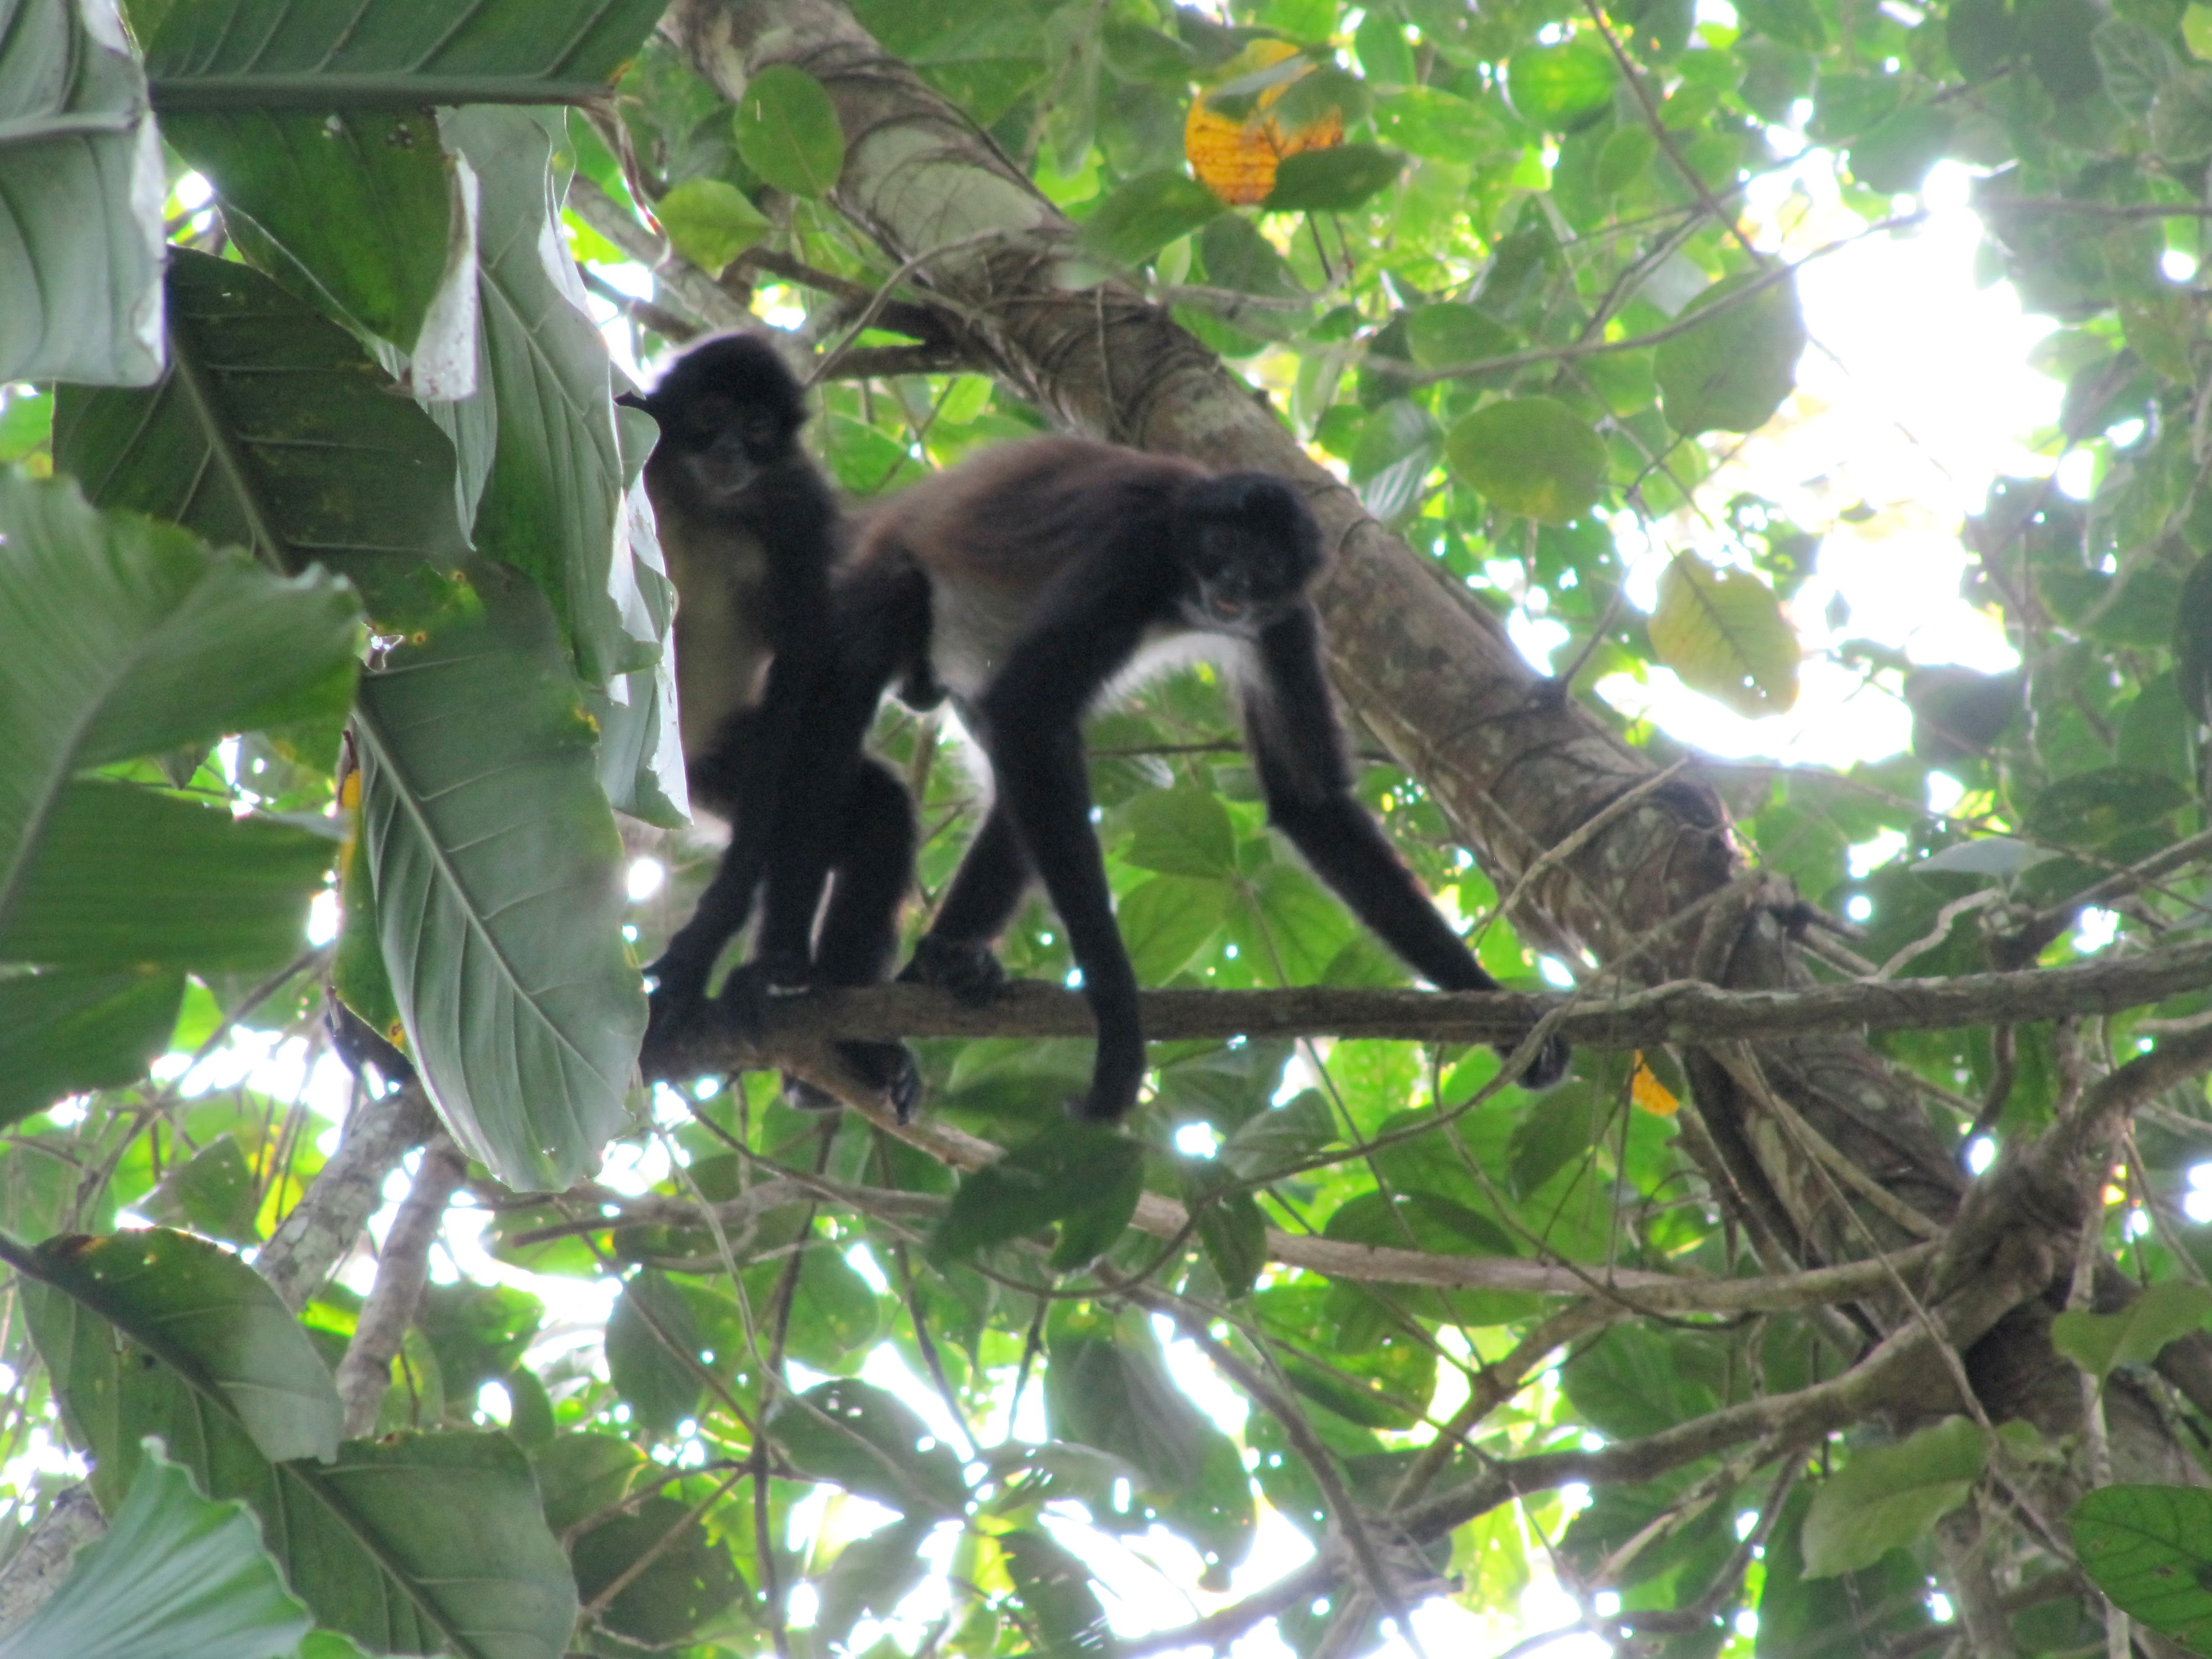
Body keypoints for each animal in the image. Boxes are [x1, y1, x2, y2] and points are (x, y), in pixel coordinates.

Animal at [619, 334, 920, 1119]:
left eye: (756, 427)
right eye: (709, 413)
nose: (729, 448)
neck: (702, 500)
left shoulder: (799, 511)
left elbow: (803, 683)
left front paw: (705, 952)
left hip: (716, 770)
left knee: (871, 809)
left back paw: (852, 1049)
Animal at [787, 436, 1566, 1124]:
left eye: (1262, 564)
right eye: (1220, 548)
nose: (1229, 585)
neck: (1177, 584)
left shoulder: (1284, 620)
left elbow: (1308, 803)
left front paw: (1497, 1018)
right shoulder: (1129, 557)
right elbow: (1030, 715)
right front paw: (1118, 1018)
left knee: (1015, 789)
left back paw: (940, 969)